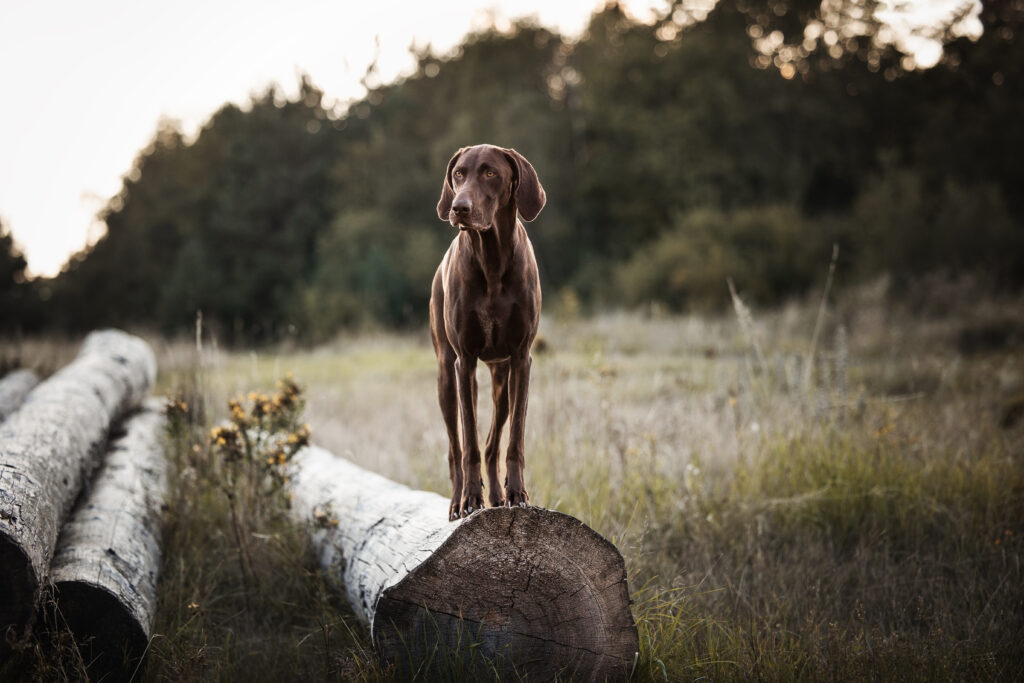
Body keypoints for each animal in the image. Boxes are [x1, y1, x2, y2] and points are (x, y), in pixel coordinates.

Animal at [430, 143, 548, 518]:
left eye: (491, 173)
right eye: (458, 174)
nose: (459, 208)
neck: (493, 259)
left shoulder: (522, 359)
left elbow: (513, 439)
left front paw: (516, 493)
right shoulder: (465, 361)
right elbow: (467, 441)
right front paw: (469, 498)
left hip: (501, 377)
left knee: (493, 440)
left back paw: (496, 495)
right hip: (446, 377)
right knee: (456, 446)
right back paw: (457, 500)